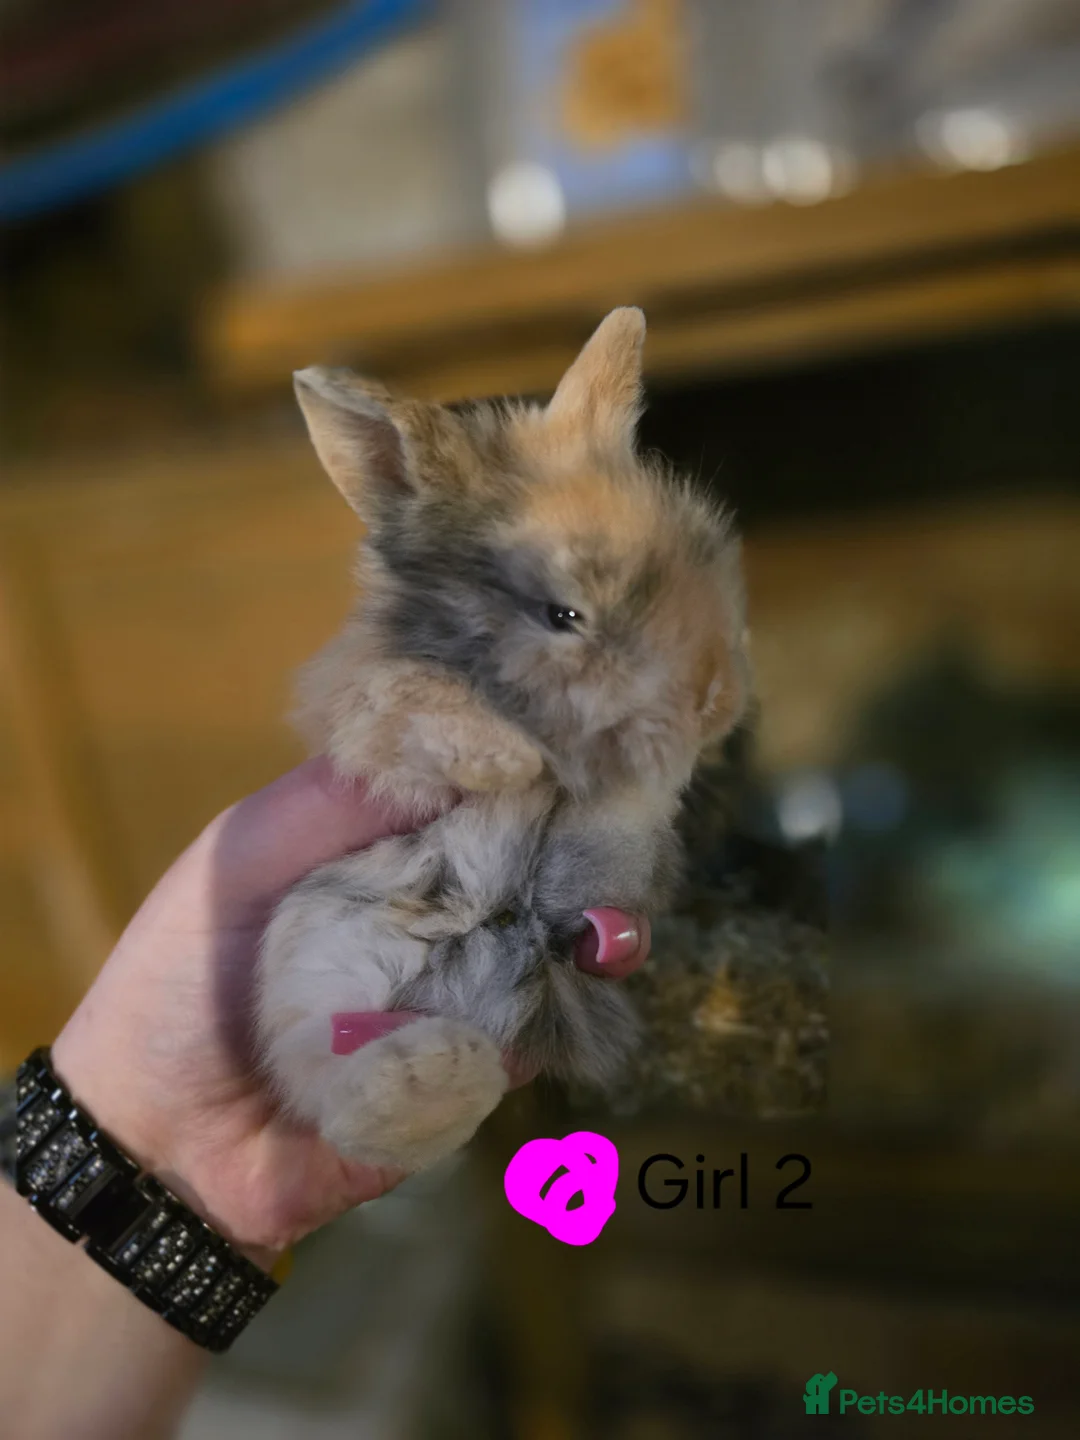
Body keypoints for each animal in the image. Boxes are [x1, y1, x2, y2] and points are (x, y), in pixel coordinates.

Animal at [256, 308, 751, 1173]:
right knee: (333, 1086)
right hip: (312, 956)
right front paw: (511, 762)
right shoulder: (364, 703)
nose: (714, 698)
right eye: (563, 614)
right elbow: (415, 705)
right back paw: (434, 1074)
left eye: (704, 554)